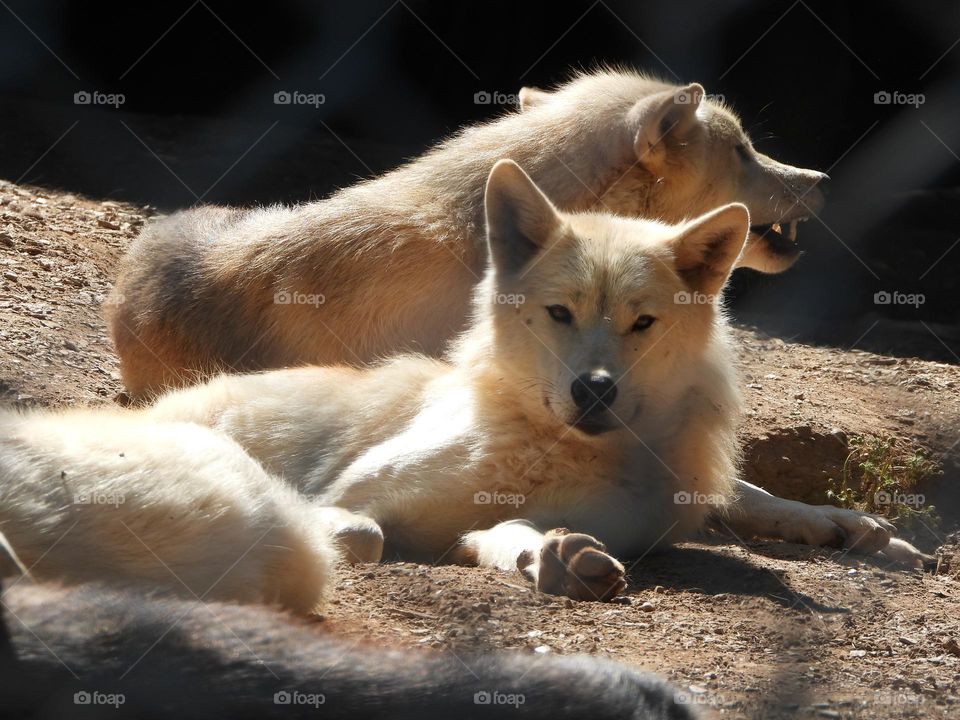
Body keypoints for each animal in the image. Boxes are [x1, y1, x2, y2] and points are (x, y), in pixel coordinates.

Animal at [2, 161, 922, 608]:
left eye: (642, 323)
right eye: (559, 313)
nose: (593, 391)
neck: (575, 455)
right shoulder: (364, 491)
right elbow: (368, 530)